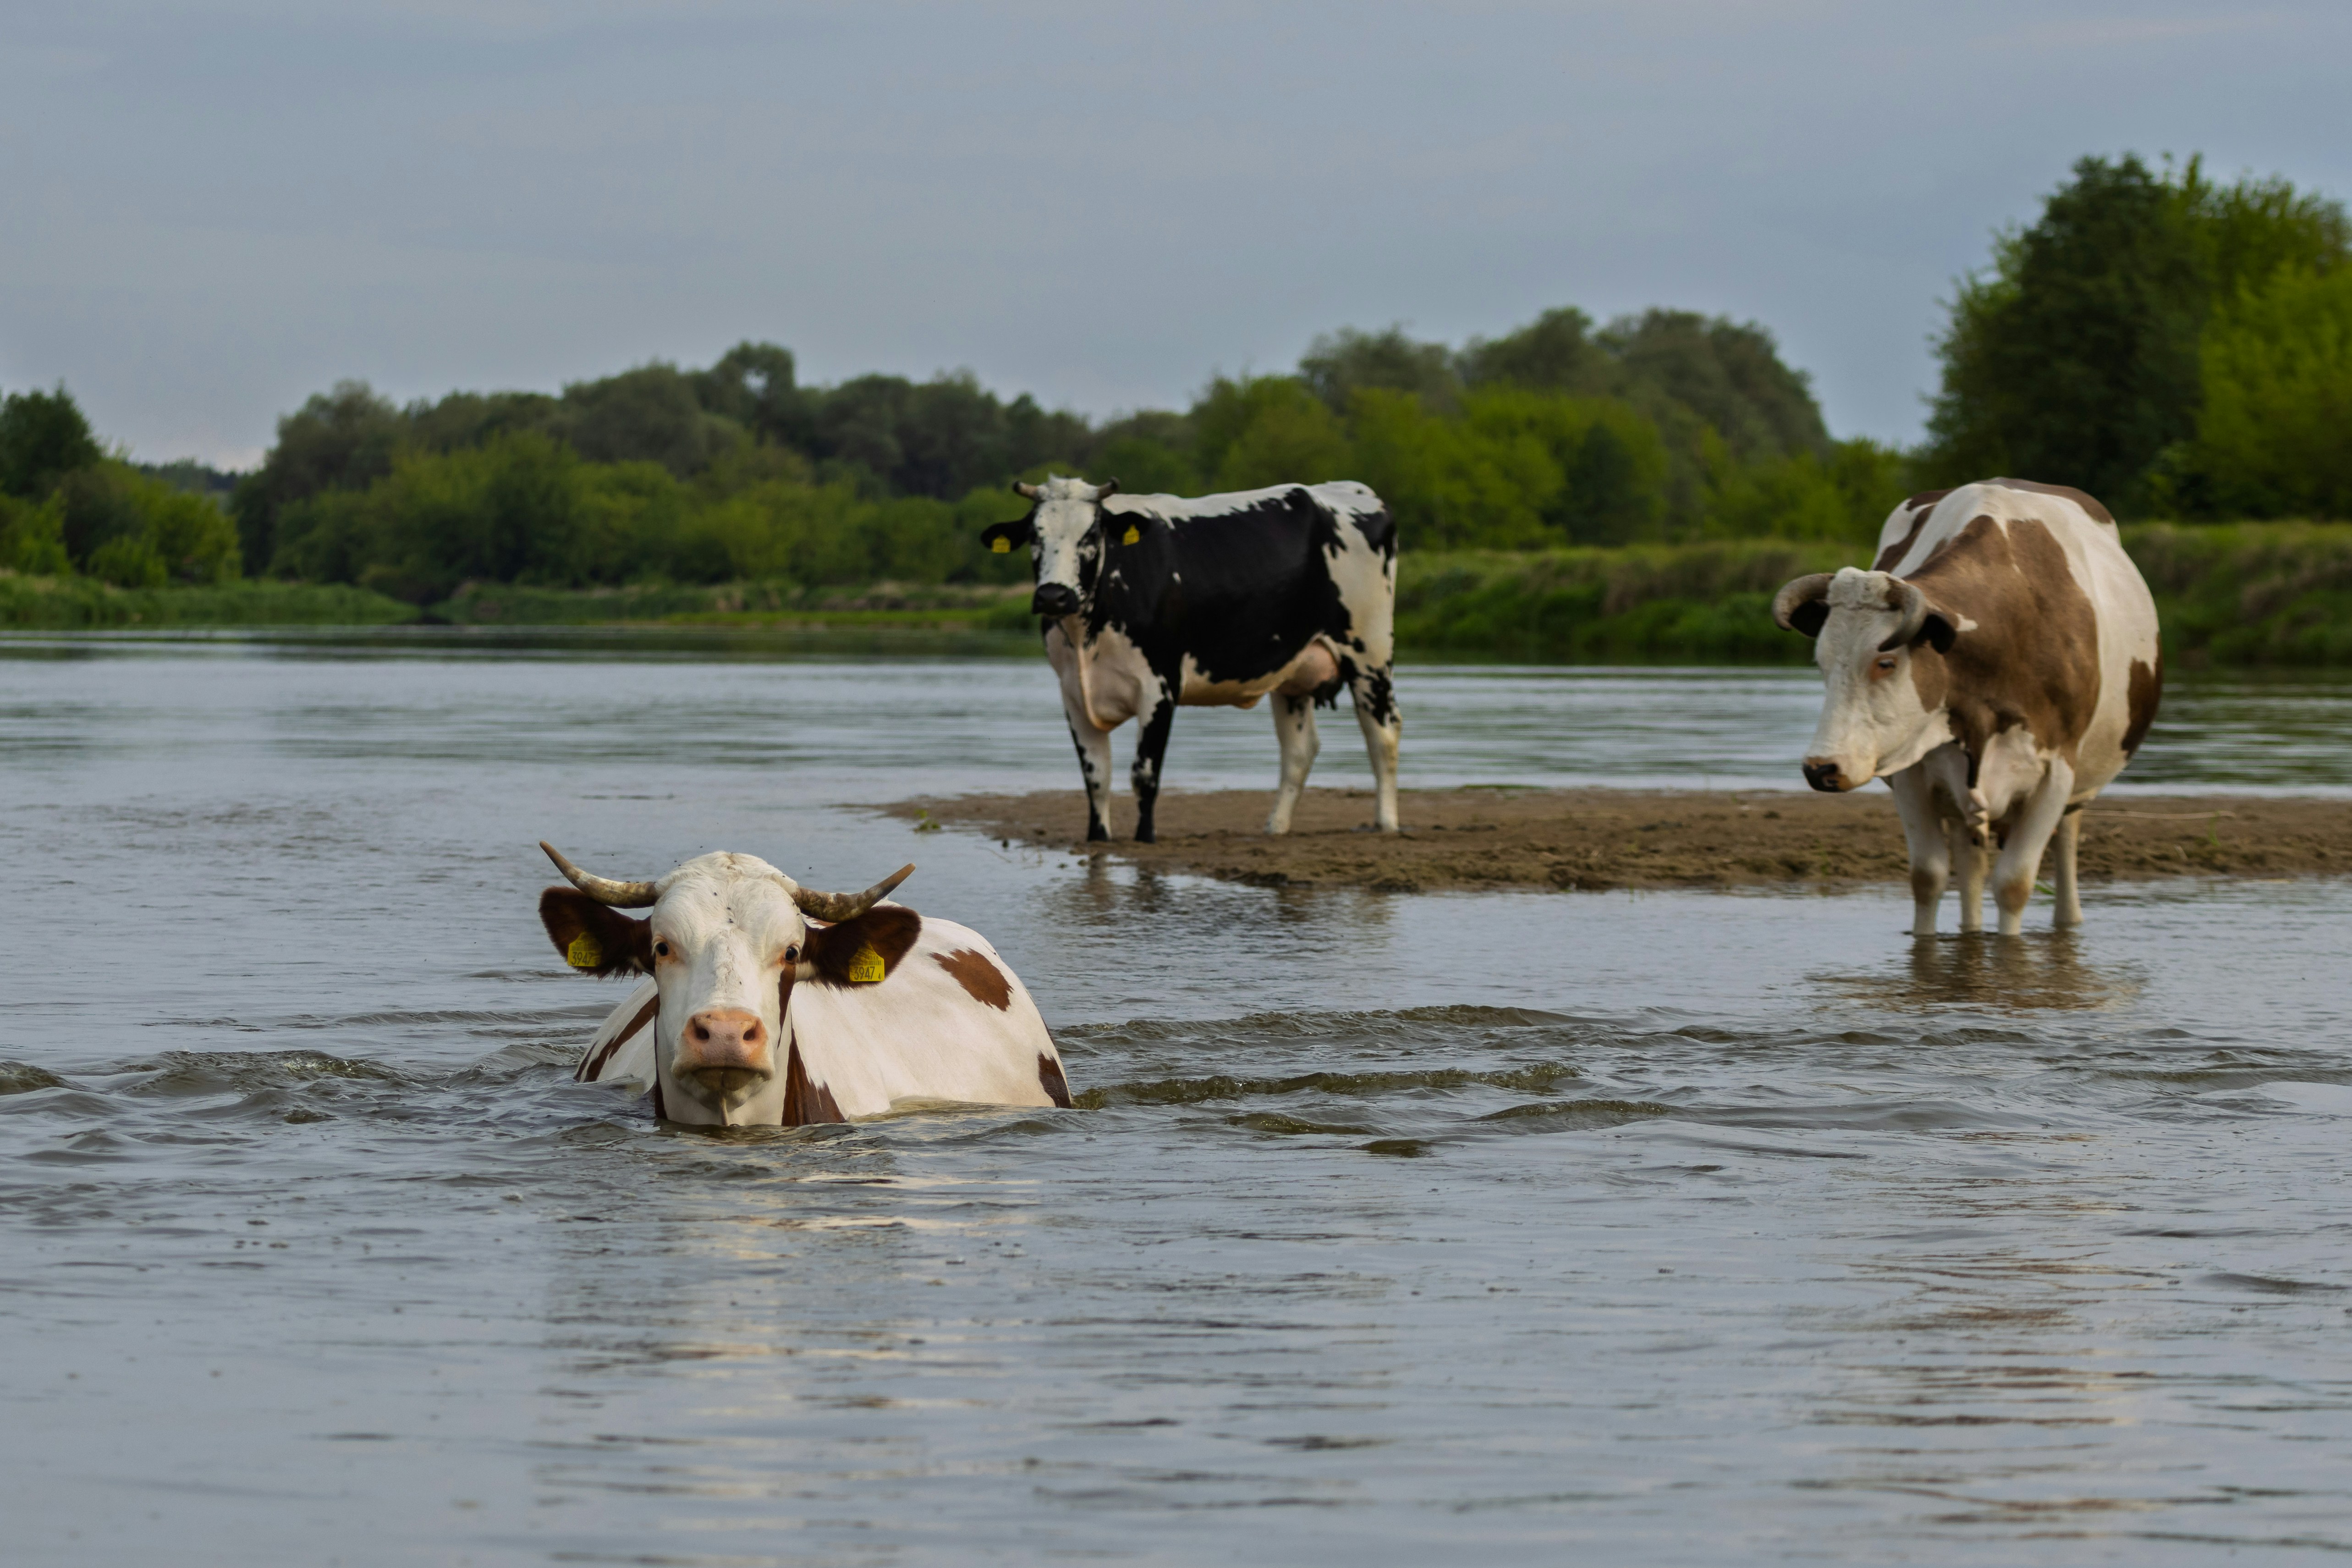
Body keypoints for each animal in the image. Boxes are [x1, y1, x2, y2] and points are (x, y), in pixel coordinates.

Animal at [980, 474, 1401, 843]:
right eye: (1035, 536)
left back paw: (1386, 823)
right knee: (1300, 749)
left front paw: (1145, 838)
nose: (1054, 595)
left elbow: (1144, 774)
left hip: (1370, 653)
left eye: (1091, 535)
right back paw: (1275, 827)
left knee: (1382, 733)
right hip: (1294, 669)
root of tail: (1350, 489)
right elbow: (1096, 777)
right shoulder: (1072, 692)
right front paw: (1098, 838)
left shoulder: (1160, 685)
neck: (1088, 636)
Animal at [1772, 479, 2162, 938]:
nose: (1821, 768)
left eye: (1886, 662)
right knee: (1970, 867)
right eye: (1822, 663)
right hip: (1960, 795)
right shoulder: (1910, 770)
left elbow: (2014, 883)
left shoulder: (2056, 772)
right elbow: (1928, 877)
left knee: (2065, 849)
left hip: (2074, 790)